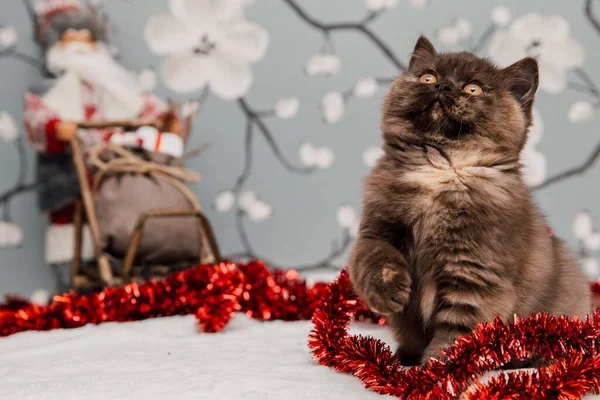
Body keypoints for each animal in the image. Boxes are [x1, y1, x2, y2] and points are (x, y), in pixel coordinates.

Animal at [346, 36, 592, 366]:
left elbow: (455, 339)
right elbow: (373, 257)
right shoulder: (377, 228)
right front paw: (388, 290)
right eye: (428, 77)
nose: (442, 86)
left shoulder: (475, 275)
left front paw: (433, 374)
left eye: (473, 89)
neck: (442, 169)